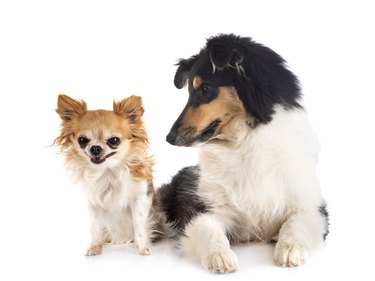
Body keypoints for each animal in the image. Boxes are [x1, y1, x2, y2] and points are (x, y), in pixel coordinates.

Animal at [54, 94, 156, 256]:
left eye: (114, 140)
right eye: (82, 140)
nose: (95, 148)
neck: (108, 172)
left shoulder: (140, 198)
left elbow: (139, 225)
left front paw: (142, 247)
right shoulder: (94, 203)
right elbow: (96, 226)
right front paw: (96, 246)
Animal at [159, 34, 328, 272]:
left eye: (204, 90)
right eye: (190, 91)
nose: (169, 138)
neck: (244, 142)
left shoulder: (314, 208)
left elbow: (294, 223)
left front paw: (289, 250)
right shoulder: (199, 210)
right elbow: (209, 230)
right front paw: (220, 257)